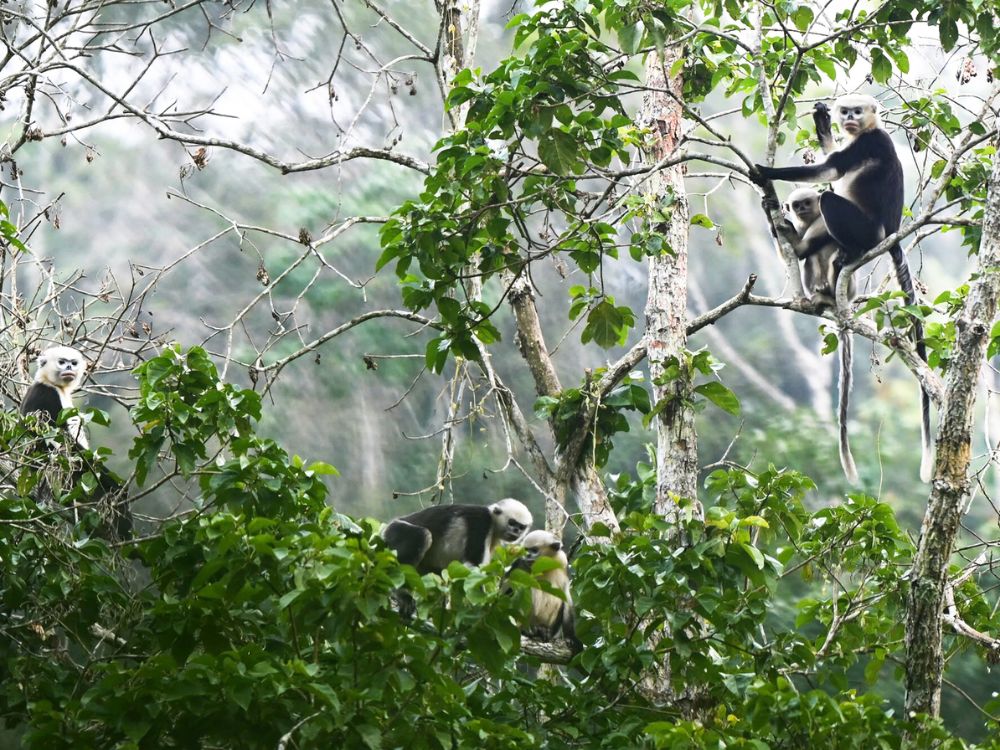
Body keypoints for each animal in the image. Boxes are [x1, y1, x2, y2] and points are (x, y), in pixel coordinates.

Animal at [383, 498, 533, 574]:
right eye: (512, 522)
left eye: (521, 527)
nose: (516, 531)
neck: (493, 521)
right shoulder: (481, 521)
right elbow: (473, 565)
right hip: (396, 531)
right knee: (423, 535)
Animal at [753, 95, 933, 482]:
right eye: (846, 112)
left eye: (857, 112)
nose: (848, 117)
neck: (868, 130)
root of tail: (889, 234)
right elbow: (831, 162)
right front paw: (822, 124)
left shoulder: (867, 144)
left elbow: (832, 171)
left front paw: (762, 172)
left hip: (864, 230)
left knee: (829, 200)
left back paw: (846, 253)